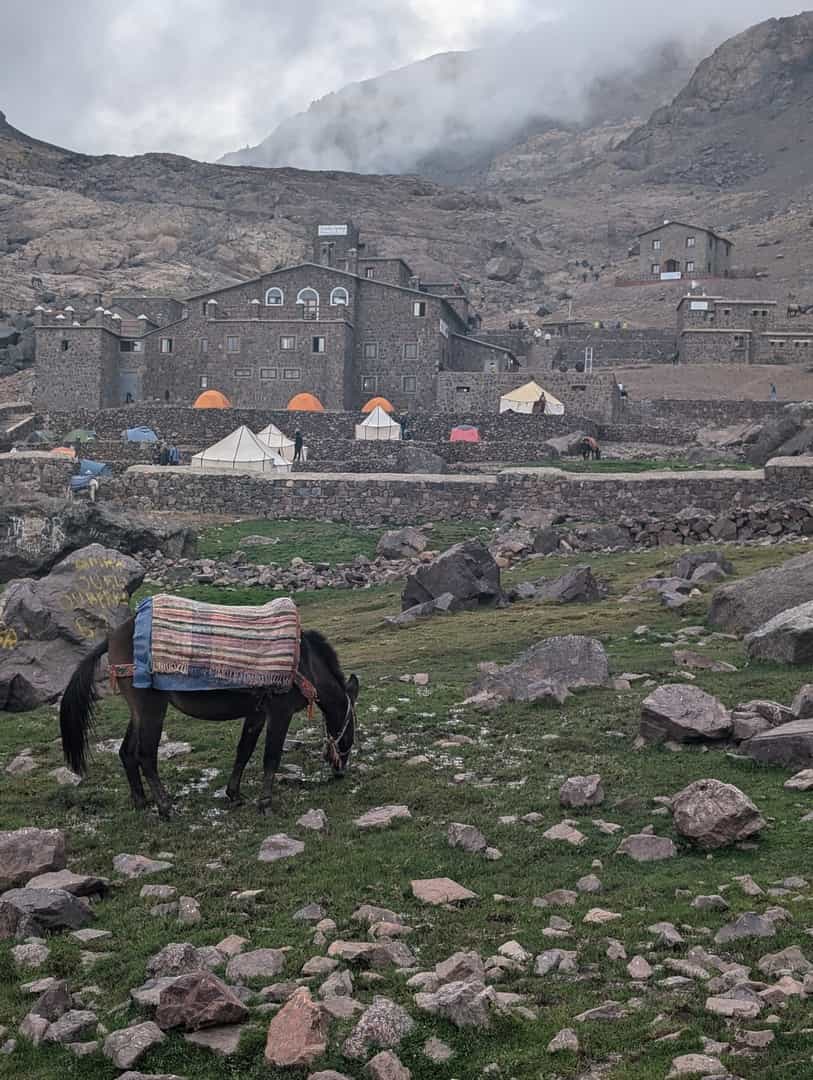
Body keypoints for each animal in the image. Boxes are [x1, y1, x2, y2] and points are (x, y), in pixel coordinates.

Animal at [58, 617, 356, 816]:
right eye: (351, 731)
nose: (340, 770)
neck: (306, 665)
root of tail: (112, 637)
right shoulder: (279, 713)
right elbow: (271, 757)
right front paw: (265, 804)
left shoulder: (257, 713)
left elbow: (244, 751)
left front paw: (234, 795)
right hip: (152, 708)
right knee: (146, 755)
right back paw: (165, 807)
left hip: (139, 711)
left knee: (127, 752)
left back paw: (141, 802)